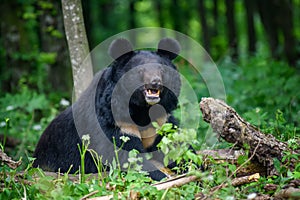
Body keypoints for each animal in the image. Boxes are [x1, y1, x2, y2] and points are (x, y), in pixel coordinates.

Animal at [34, 38, 182, 181]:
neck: (143, 109)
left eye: (162, 70)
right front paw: (162, 176)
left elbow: (173, 145)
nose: (155, 82)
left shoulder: (162, 121)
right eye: (139, 71)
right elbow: (126, 154)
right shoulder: (116, 121)